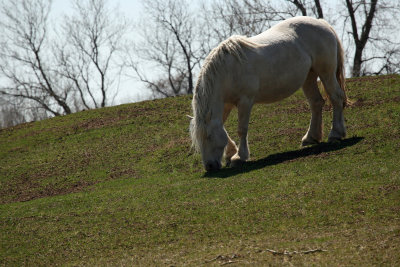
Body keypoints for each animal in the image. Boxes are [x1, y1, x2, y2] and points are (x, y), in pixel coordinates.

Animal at [190, 16, 346, 172]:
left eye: (209, 136)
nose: (210, 166)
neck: (228, 71)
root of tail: (322, 23)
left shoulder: (245, 101)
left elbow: (242, 129)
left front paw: (239, 157)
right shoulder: (226, 104)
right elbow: (224, 129)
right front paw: (230, 154)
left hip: (326, 73)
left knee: (336, 98)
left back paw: (336, 134)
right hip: (309, 77)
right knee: (316, 103)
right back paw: (310, 138)